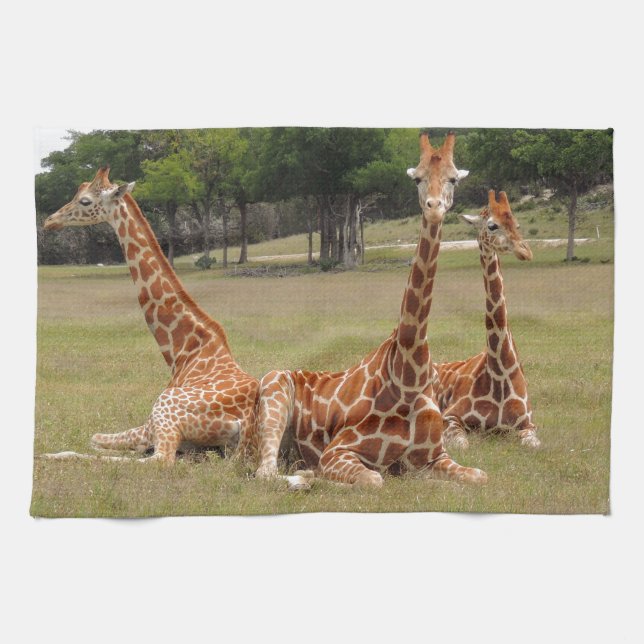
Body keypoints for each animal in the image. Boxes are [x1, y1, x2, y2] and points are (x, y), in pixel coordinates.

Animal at [41, 167, 259, 464]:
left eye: (85, 201)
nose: (49, 221)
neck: (184, 351)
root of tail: (245, 424)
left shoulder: (149, 424)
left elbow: (94, 438)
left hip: (164, 412)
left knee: (159, 460)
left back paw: (52, 454)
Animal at [255, 132, 487, 488]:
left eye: (452, 179)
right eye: (418, 178)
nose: (434, 208)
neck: (407, 379)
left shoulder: (435, 456)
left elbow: (480, 476)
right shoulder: (337, 451)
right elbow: (374, 479)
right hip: (274, 391)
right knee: (265, 473)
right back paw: (304, 474)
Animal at [434, 190, 541, 449]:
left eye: (517, 223)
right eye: (492, 225)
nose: (526, 251)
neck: (500, 372)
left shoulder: (528, 424)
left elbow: (533, 445)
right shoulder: (450, 417)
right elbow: (462, 444)